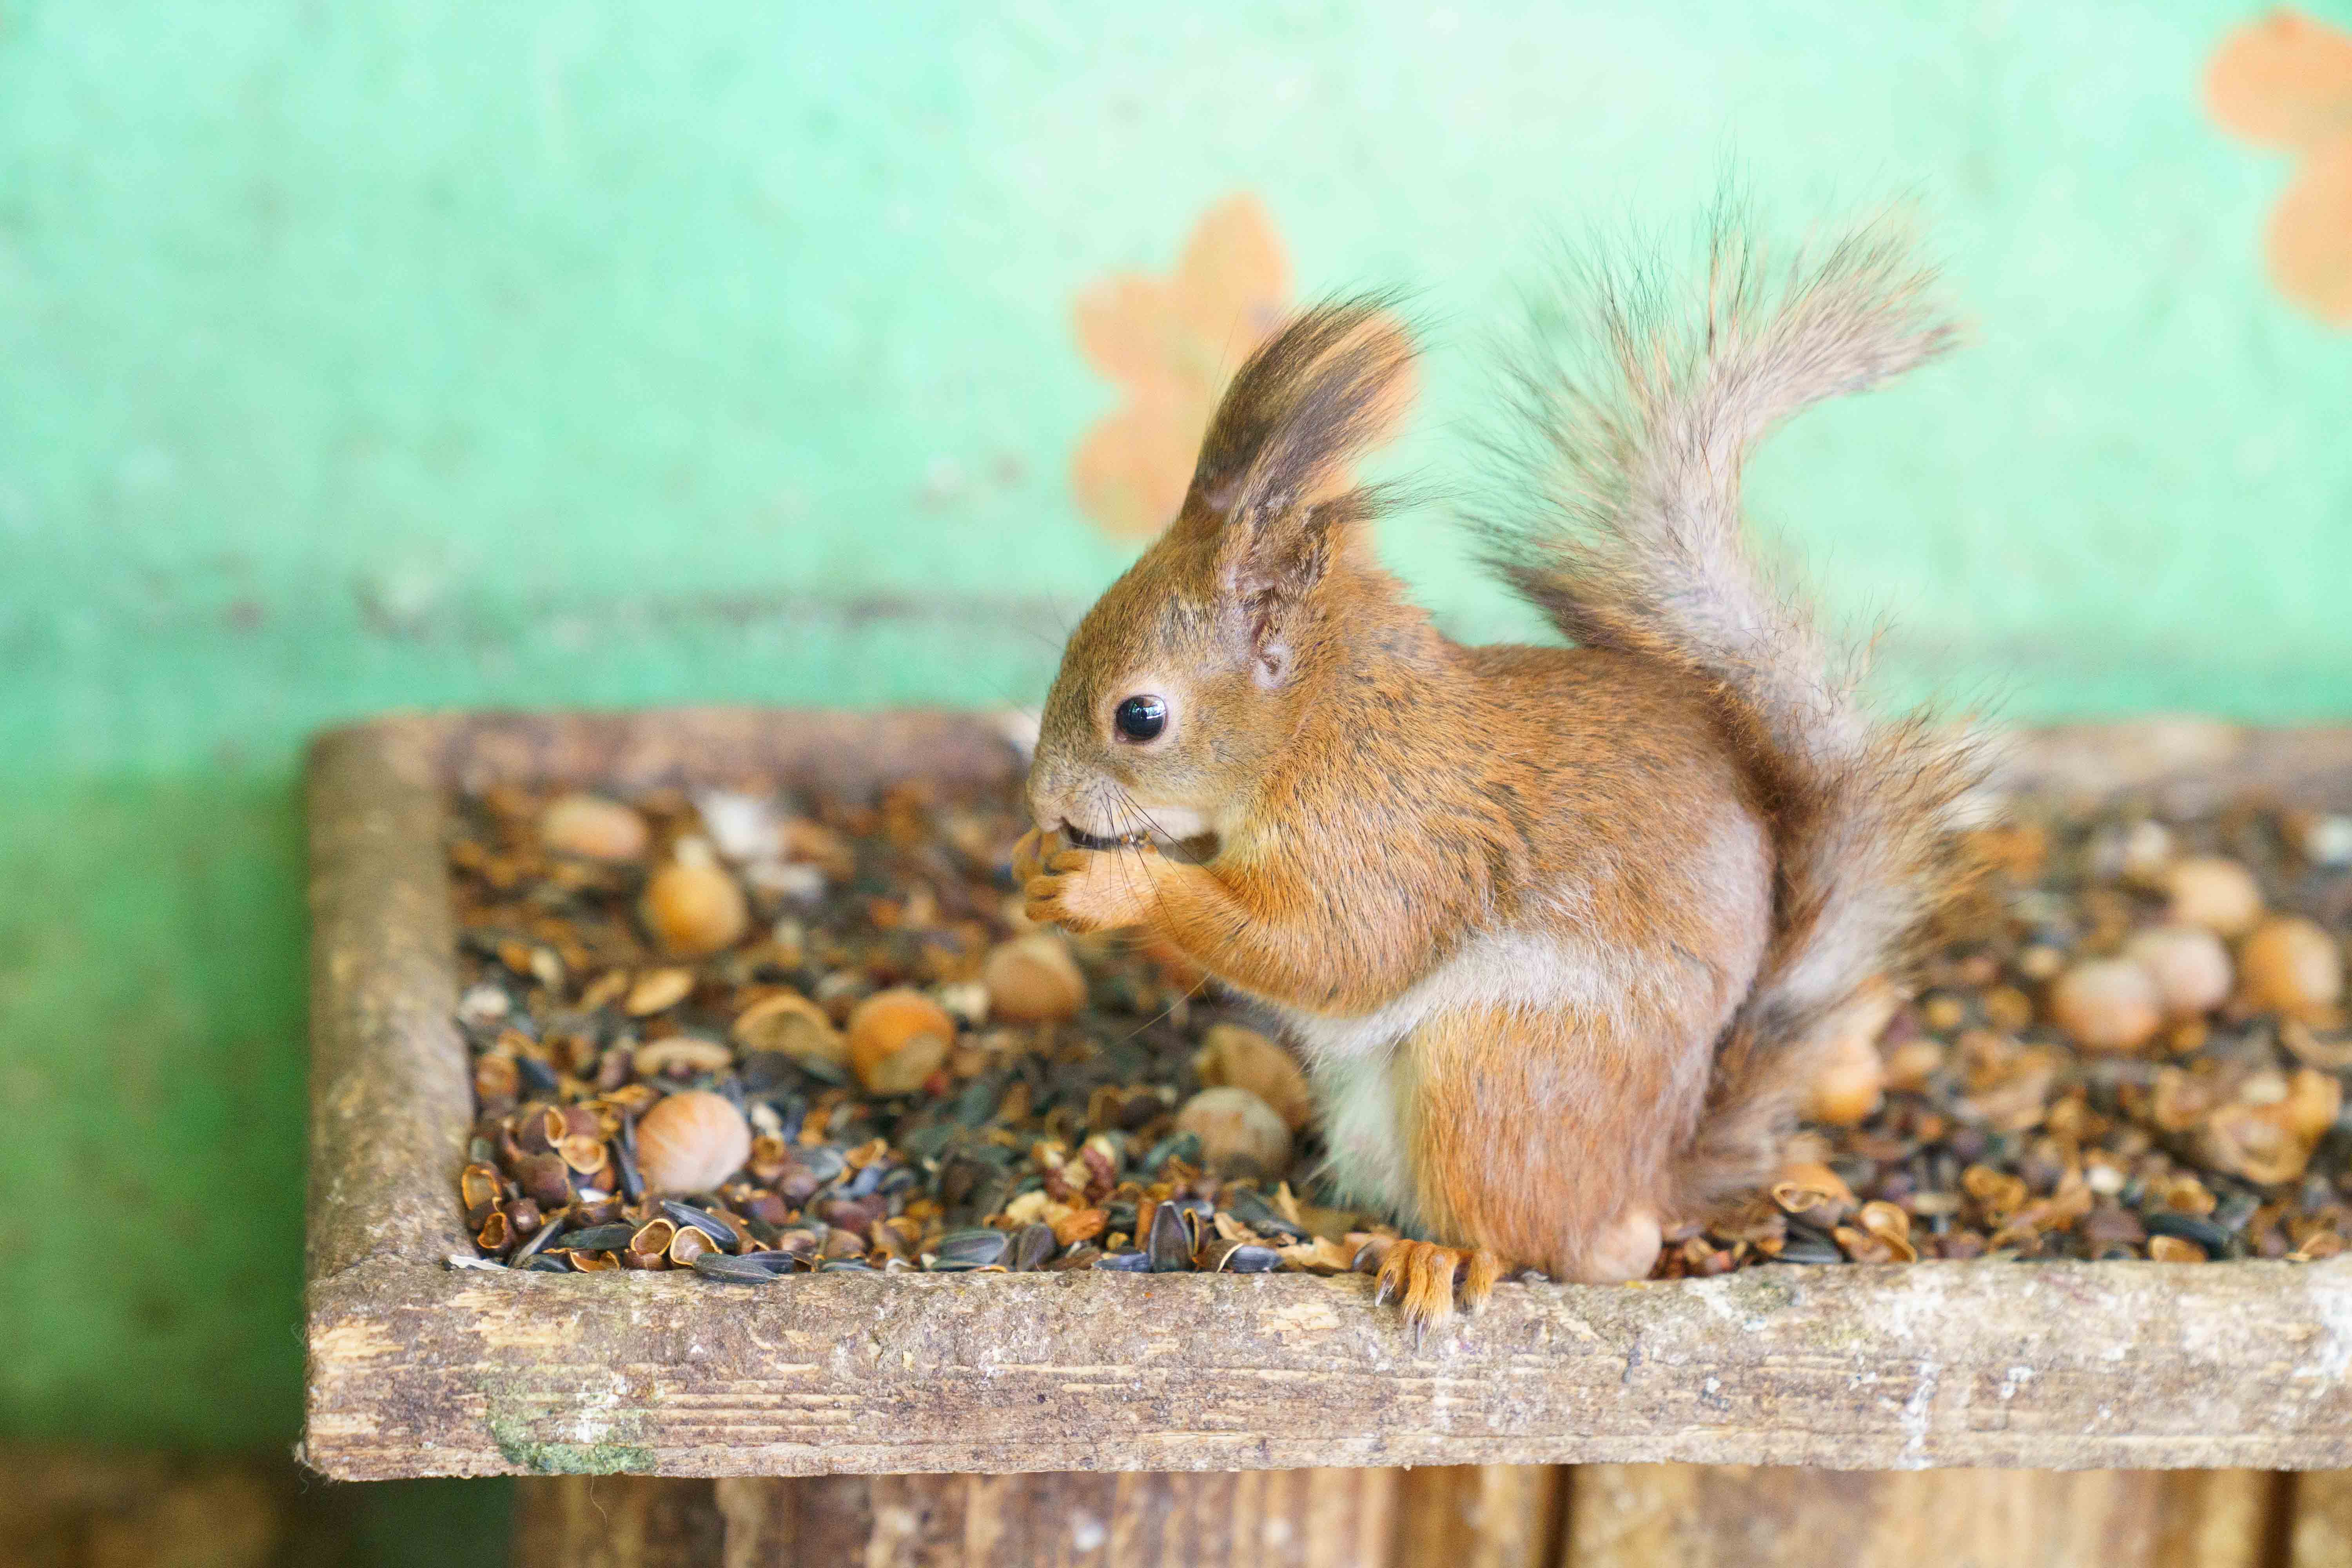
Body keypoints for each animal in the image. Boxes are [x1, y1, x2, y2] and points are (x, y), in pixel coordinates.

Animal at [1021, 215, 1976, 1335]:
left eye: (1141, 717)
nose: (1043, 798)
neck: (1320, 721)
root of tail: (1642, 1180)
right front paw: (1041, 864)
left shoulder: (1386, 833)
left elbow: (1333, 950)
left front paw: (1113, 885)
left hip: (1495, 1069)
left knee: (1540, 1240)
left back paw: (1438, 1254)